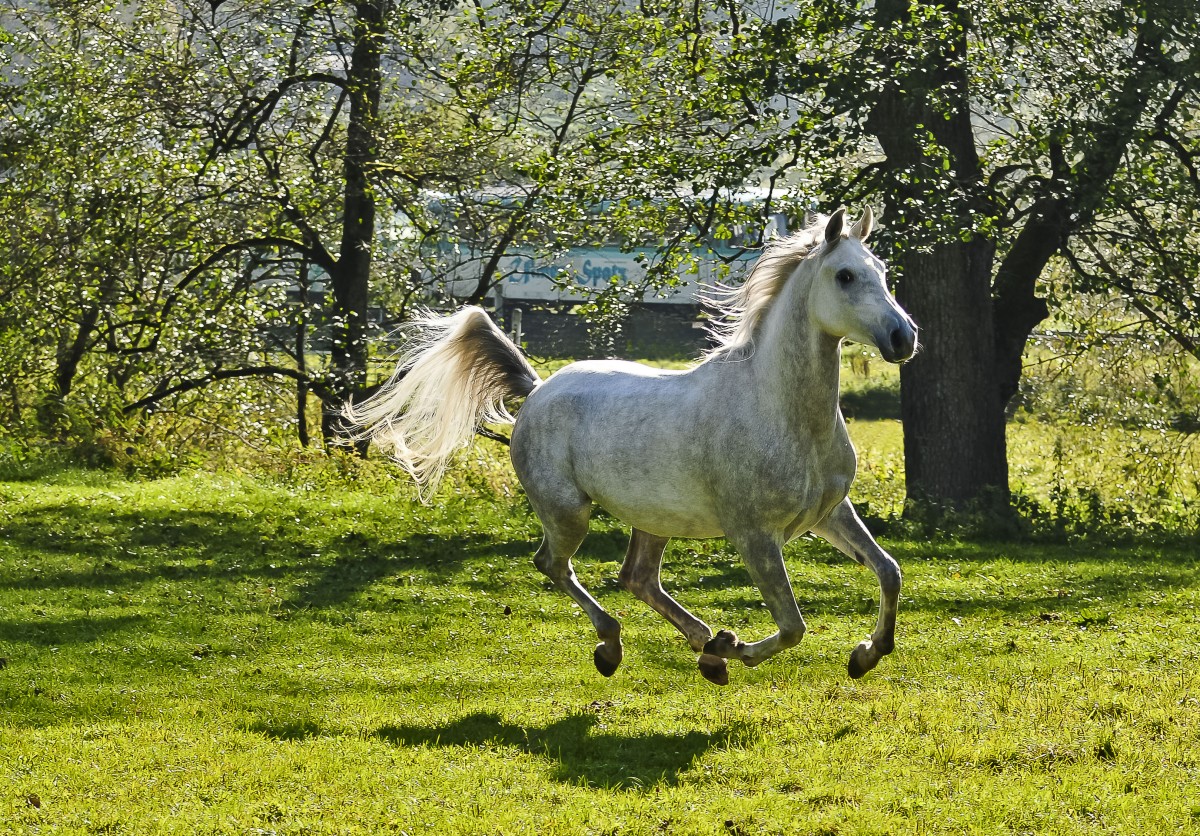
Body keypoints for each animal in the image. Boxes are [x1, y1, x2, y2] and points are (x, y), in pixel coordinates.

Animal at [348, 208, 916, 686]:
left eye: (882, 269)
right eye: (845, 276)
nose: (903, 337)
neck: (780, 410)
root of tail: (537, 388)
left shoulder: (830, 513)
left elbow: (889, 571)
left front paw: (866, 655)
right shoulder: (753, 534)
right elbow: (793, 625)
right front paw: (734, 650)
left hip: (655, 518)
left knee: (636, 578)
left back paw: (705, 646)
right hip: (568, 512)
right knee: (554, 565)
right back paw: (617, 646)